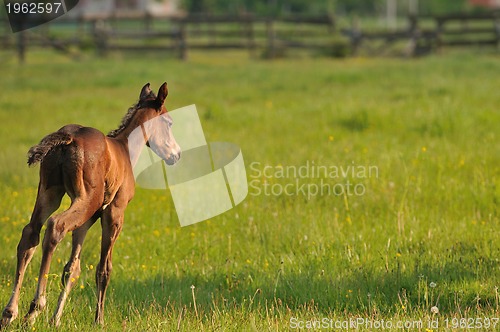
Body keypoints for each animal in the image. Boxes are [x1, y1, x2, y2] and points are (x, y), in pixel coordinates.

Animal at [0, 82, 180, 326]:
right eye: (169, 122)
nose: (176, 154)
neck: (125, 149)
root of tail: (68, 137)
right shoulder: (114, 213)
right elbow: (104, 269)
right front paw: (99, 320)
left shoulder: (87, 222)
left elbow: (72, 268)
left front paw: (56, 320)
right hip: (85, 199)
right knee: (55, 227)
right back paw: (35, 308)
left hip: (50, 193)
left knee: (31, 234)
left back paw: (10, 312)